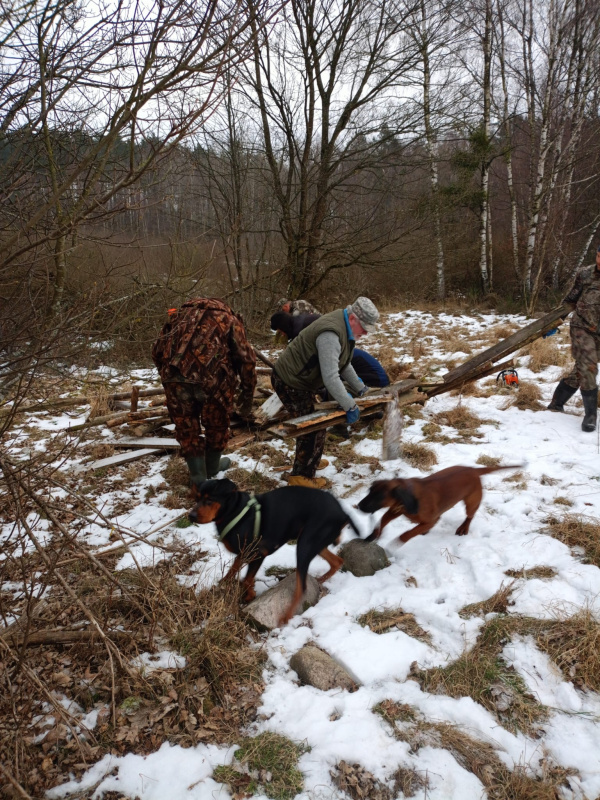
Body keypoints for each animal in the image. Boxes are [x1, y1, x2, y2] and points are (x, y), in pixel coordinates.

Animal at [189, 478, 360, 625]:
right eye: (196, 498)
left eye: (210, 499)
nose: (191, 516)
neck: (235, 513)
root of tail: (343, 513)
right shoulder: (244, 554)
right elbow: (233, 571)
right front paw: (222, 585)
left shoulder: (258, 554)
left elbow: (246, 579)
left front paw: (250, 595)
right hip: (313, 542)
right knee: (337, 561)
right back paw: (320, 580)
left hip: (304, 547)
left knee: (302, 588)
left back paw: (286, 617)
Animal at [357, 465, 520, 544]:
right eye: (370, 491)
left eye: (379, 496)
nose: (358, 506)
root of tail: (474, 470)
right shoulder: (395, 510)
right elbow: (381, 521)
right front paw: (373, 535)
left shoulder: (428, 520)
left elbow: (405, 535)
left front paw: (393, 546)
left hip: (472, 501)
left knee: (469, 516)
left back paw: (463, 528)